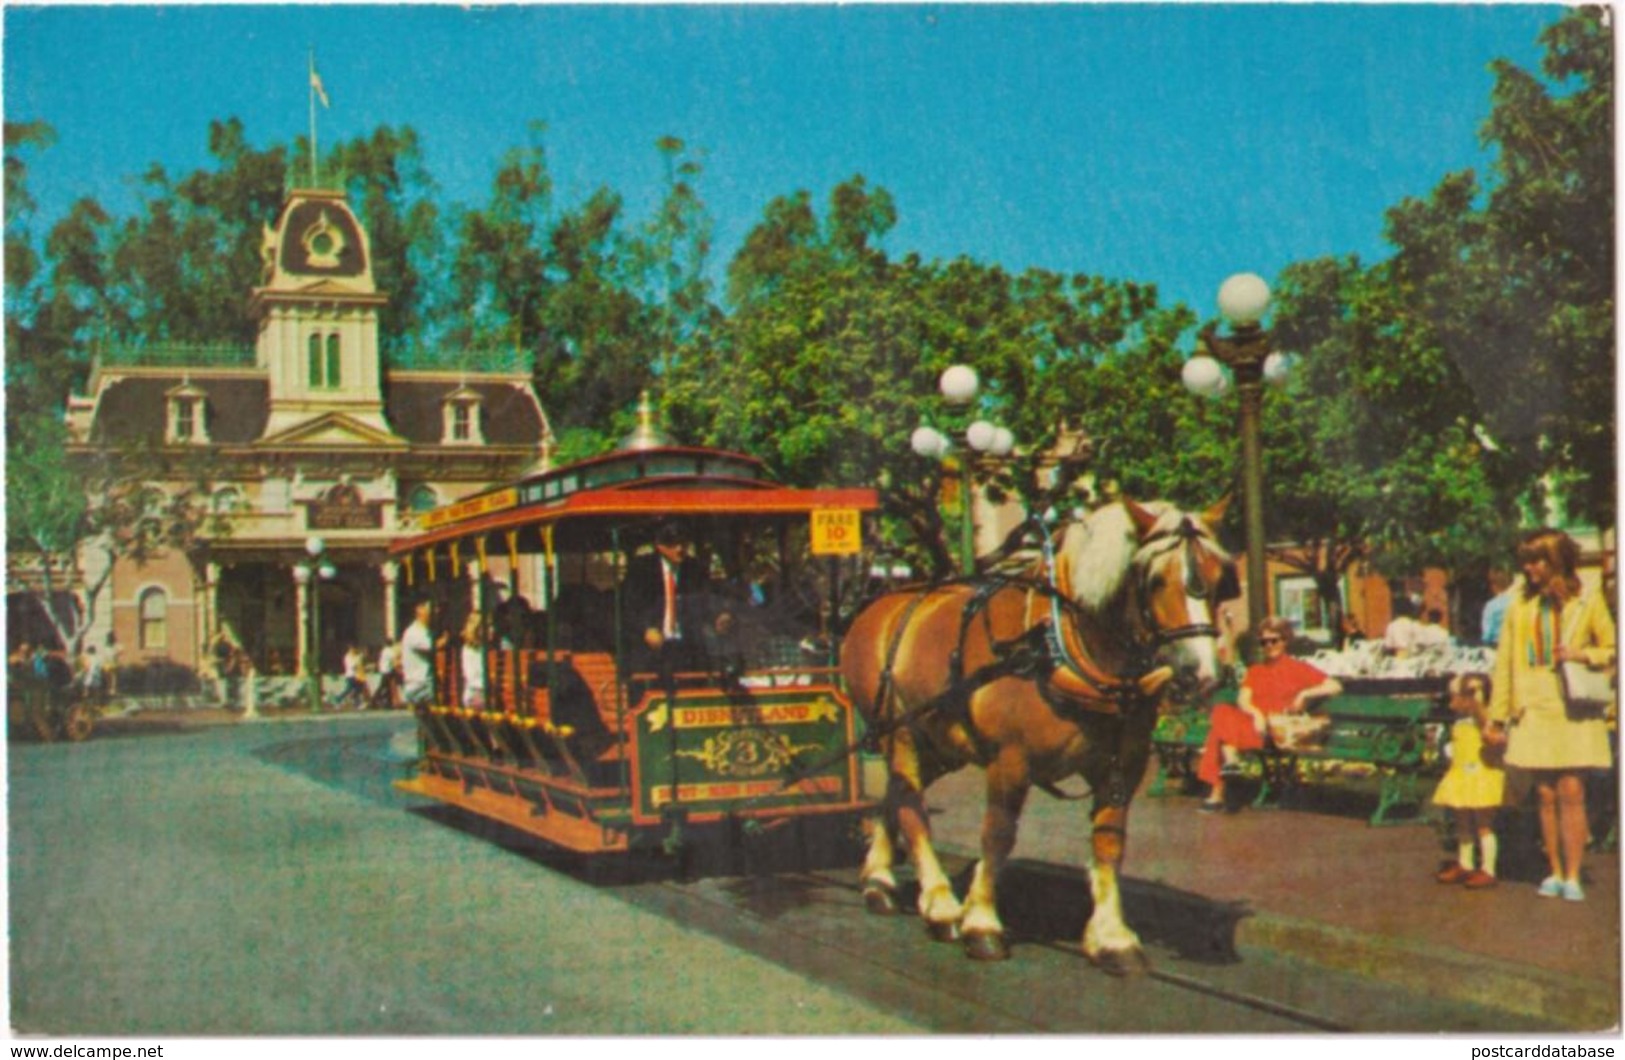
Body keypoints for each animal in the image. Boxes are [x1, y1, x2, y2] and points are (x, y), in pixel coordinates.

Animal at [838, 494, 1228, 968]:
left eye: (1219, 577)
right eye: (1154, 580)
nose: (1201, 675)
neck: (1055, 645)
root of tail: (873, 610)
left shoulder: (1123, 765)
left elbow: (1109, 842)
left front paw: (1111, 937)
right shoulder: (1010, 759)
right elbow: (998, 835)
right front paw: (981, 923)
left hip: (941, 747)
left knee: (894, 795)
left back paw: (879, 880)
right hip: (900, 733)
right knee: (911, 806)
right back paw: (941, 905)